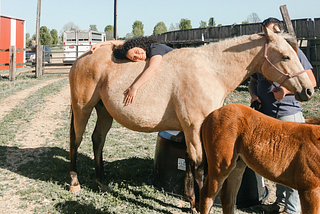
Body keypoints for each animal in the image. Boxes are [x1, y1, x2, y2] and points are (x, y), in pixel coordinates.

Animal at [69, 26, 314, 212]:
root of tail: (82, 57)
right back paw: (74, 183)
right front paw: (196, 204)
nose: (309, 90)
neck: (210, 71)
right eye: (285, 56)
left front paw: (190, 200)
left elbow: (188, 162)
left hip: (104, 112)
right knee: (76, 141)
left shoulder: (192, 129)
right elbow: (198, 165)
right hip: (82, 108)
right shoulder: (194, 127)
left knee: (97, 140)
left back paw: (102, 183)